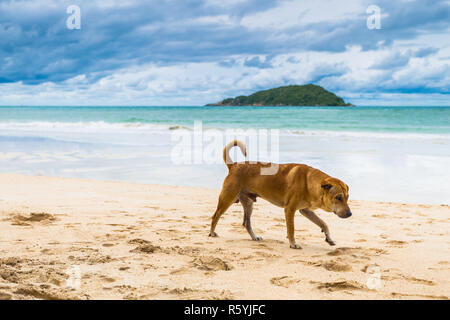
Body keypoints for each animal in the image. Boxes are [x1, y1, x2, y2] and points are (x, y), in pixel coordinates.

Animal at [207, 139, 352, 248]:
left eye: (347, 197)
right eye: (338, 197)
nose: (350, 214)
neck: (309, 181)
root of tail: (234, 165)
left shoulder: (306, 210)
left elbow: (323, 223)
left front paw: (329, 238)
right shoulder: (290, 210)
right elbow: (291, 229)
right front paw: (293, 244)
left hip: (248, 203)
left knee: (246, 223)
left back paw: (254, 237)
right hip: (227, 198)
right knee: (215, 216)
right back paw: (212, 233)